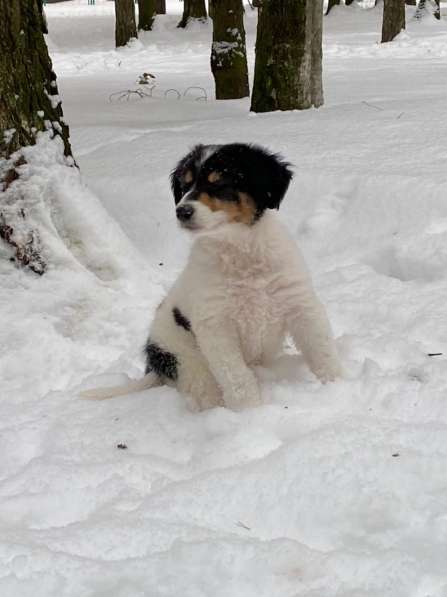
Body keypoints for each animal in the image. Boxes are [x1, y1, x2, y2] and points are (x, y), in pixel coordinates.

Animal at [83, 143, 344, 410]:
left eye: (219, 183)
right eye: (185, 185)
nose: (182, 211)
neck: (240, 252)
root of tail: (155, 366)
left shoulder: (300, 303)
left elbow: (322, 349)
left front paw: (337, 386)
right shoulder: (216, 325)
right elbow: (237, 378)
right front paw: (250, 413)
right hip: (191, 365)